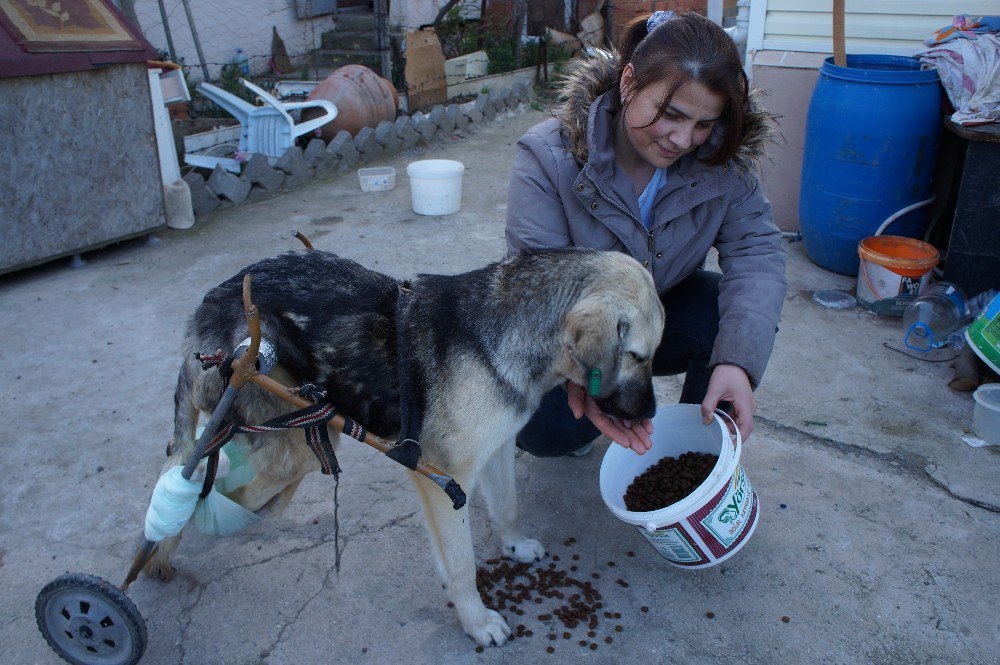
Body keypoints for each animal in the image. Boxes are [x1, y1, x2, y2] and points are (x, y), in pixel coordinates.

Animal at [146, 246, 664, 644]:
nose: (651, 415)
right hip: (290, 443)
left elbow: (506, 509)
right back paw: (162, 544)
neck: (504, 333)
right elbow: (462, 564)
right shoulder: (445, 480)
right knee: (198, 478)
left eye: (653, 356)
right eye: (637, 356)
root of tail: (204, 310)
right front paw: (477, 622)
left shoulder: (494, 454)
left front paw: (514, 546)